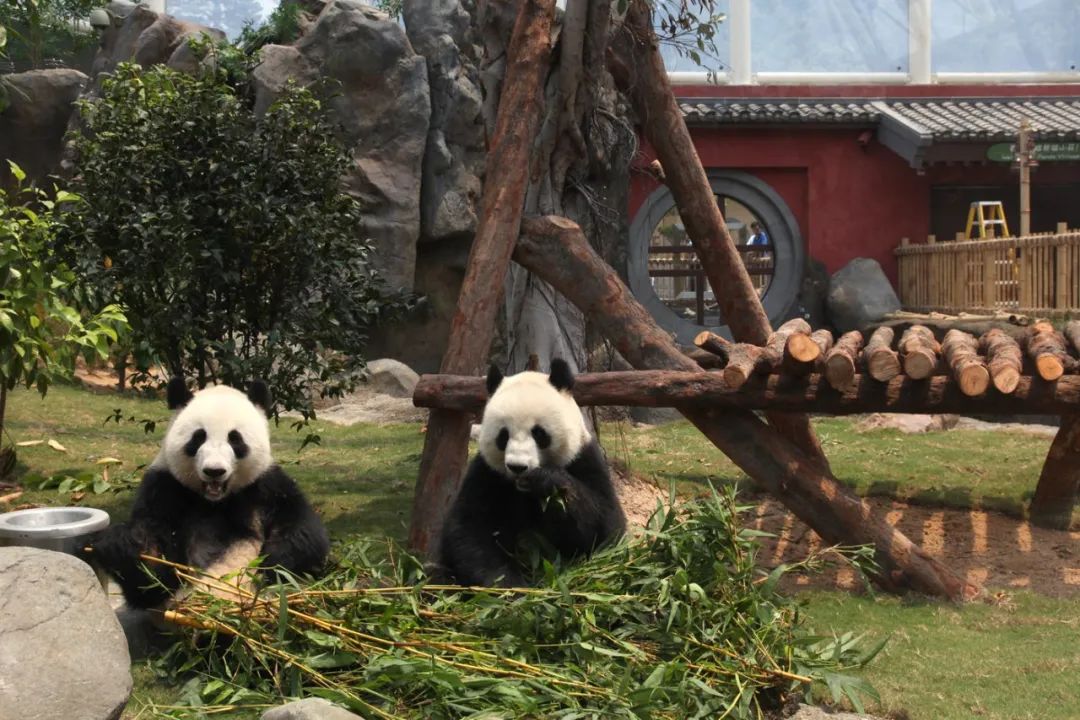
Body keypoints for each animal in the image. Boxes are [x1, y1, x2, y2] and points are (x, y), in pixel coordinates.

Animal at [92, 377, 328, 608]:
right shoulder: (165, 488)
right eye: (198, 438)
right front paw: (127, 545)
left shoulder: (267, 486)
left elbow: (303, 532)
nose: (214, 471)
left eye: (235, 439)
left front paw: (272, 564)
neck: (215, 500)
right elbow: (153, 580)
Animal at [436, 358, 626, 587]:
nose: (518, 467)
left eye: (539, 433)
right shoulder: (487, 473)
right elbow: (469, 530)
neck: (521, 488)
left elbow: (606, 528)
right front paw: (512, 586)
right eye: (503, 435)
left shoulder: (583, 458)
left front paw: (546, 481)